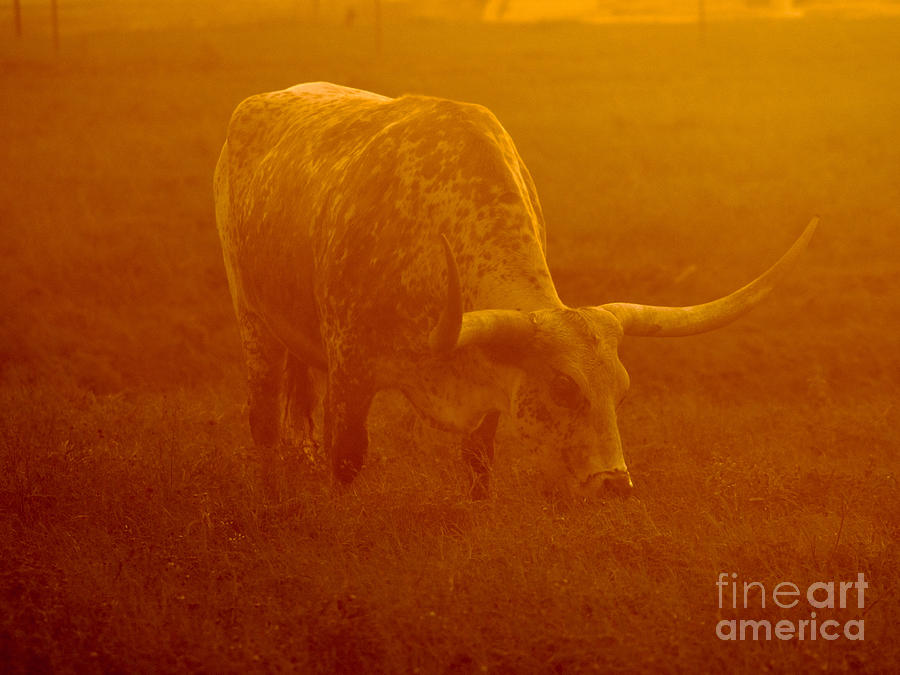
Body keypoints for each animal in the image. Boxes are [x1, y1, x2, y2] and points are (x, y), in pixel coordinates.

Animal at [214, 82, 820, 500]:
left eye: (623, 390)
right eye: (563, 389)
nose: (614, 486)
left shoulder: (491, 379)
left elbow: (479, 456)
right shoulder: (350, 372)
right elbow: (345, 460)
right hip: (251, 317)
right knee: (264, 420)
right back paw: (270, 492)